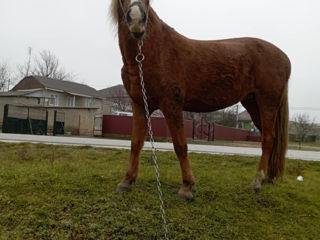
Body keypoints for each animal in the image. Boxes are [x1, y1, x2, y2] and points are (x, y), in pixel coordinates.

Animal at [110, 0, 290, 201]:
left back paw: (257, 181)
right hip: (253, 105)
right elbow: (136, 144)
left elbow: (180, 146)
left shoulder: (171, 105)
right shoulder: (140, 105)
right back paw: (268, 178)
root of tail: (284, 57)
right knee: (272, 139)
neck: (154, 52)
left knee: (268, 139)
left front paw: (186, 187)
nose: (136, 21)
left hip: (267, 103)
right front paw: (126, 181)